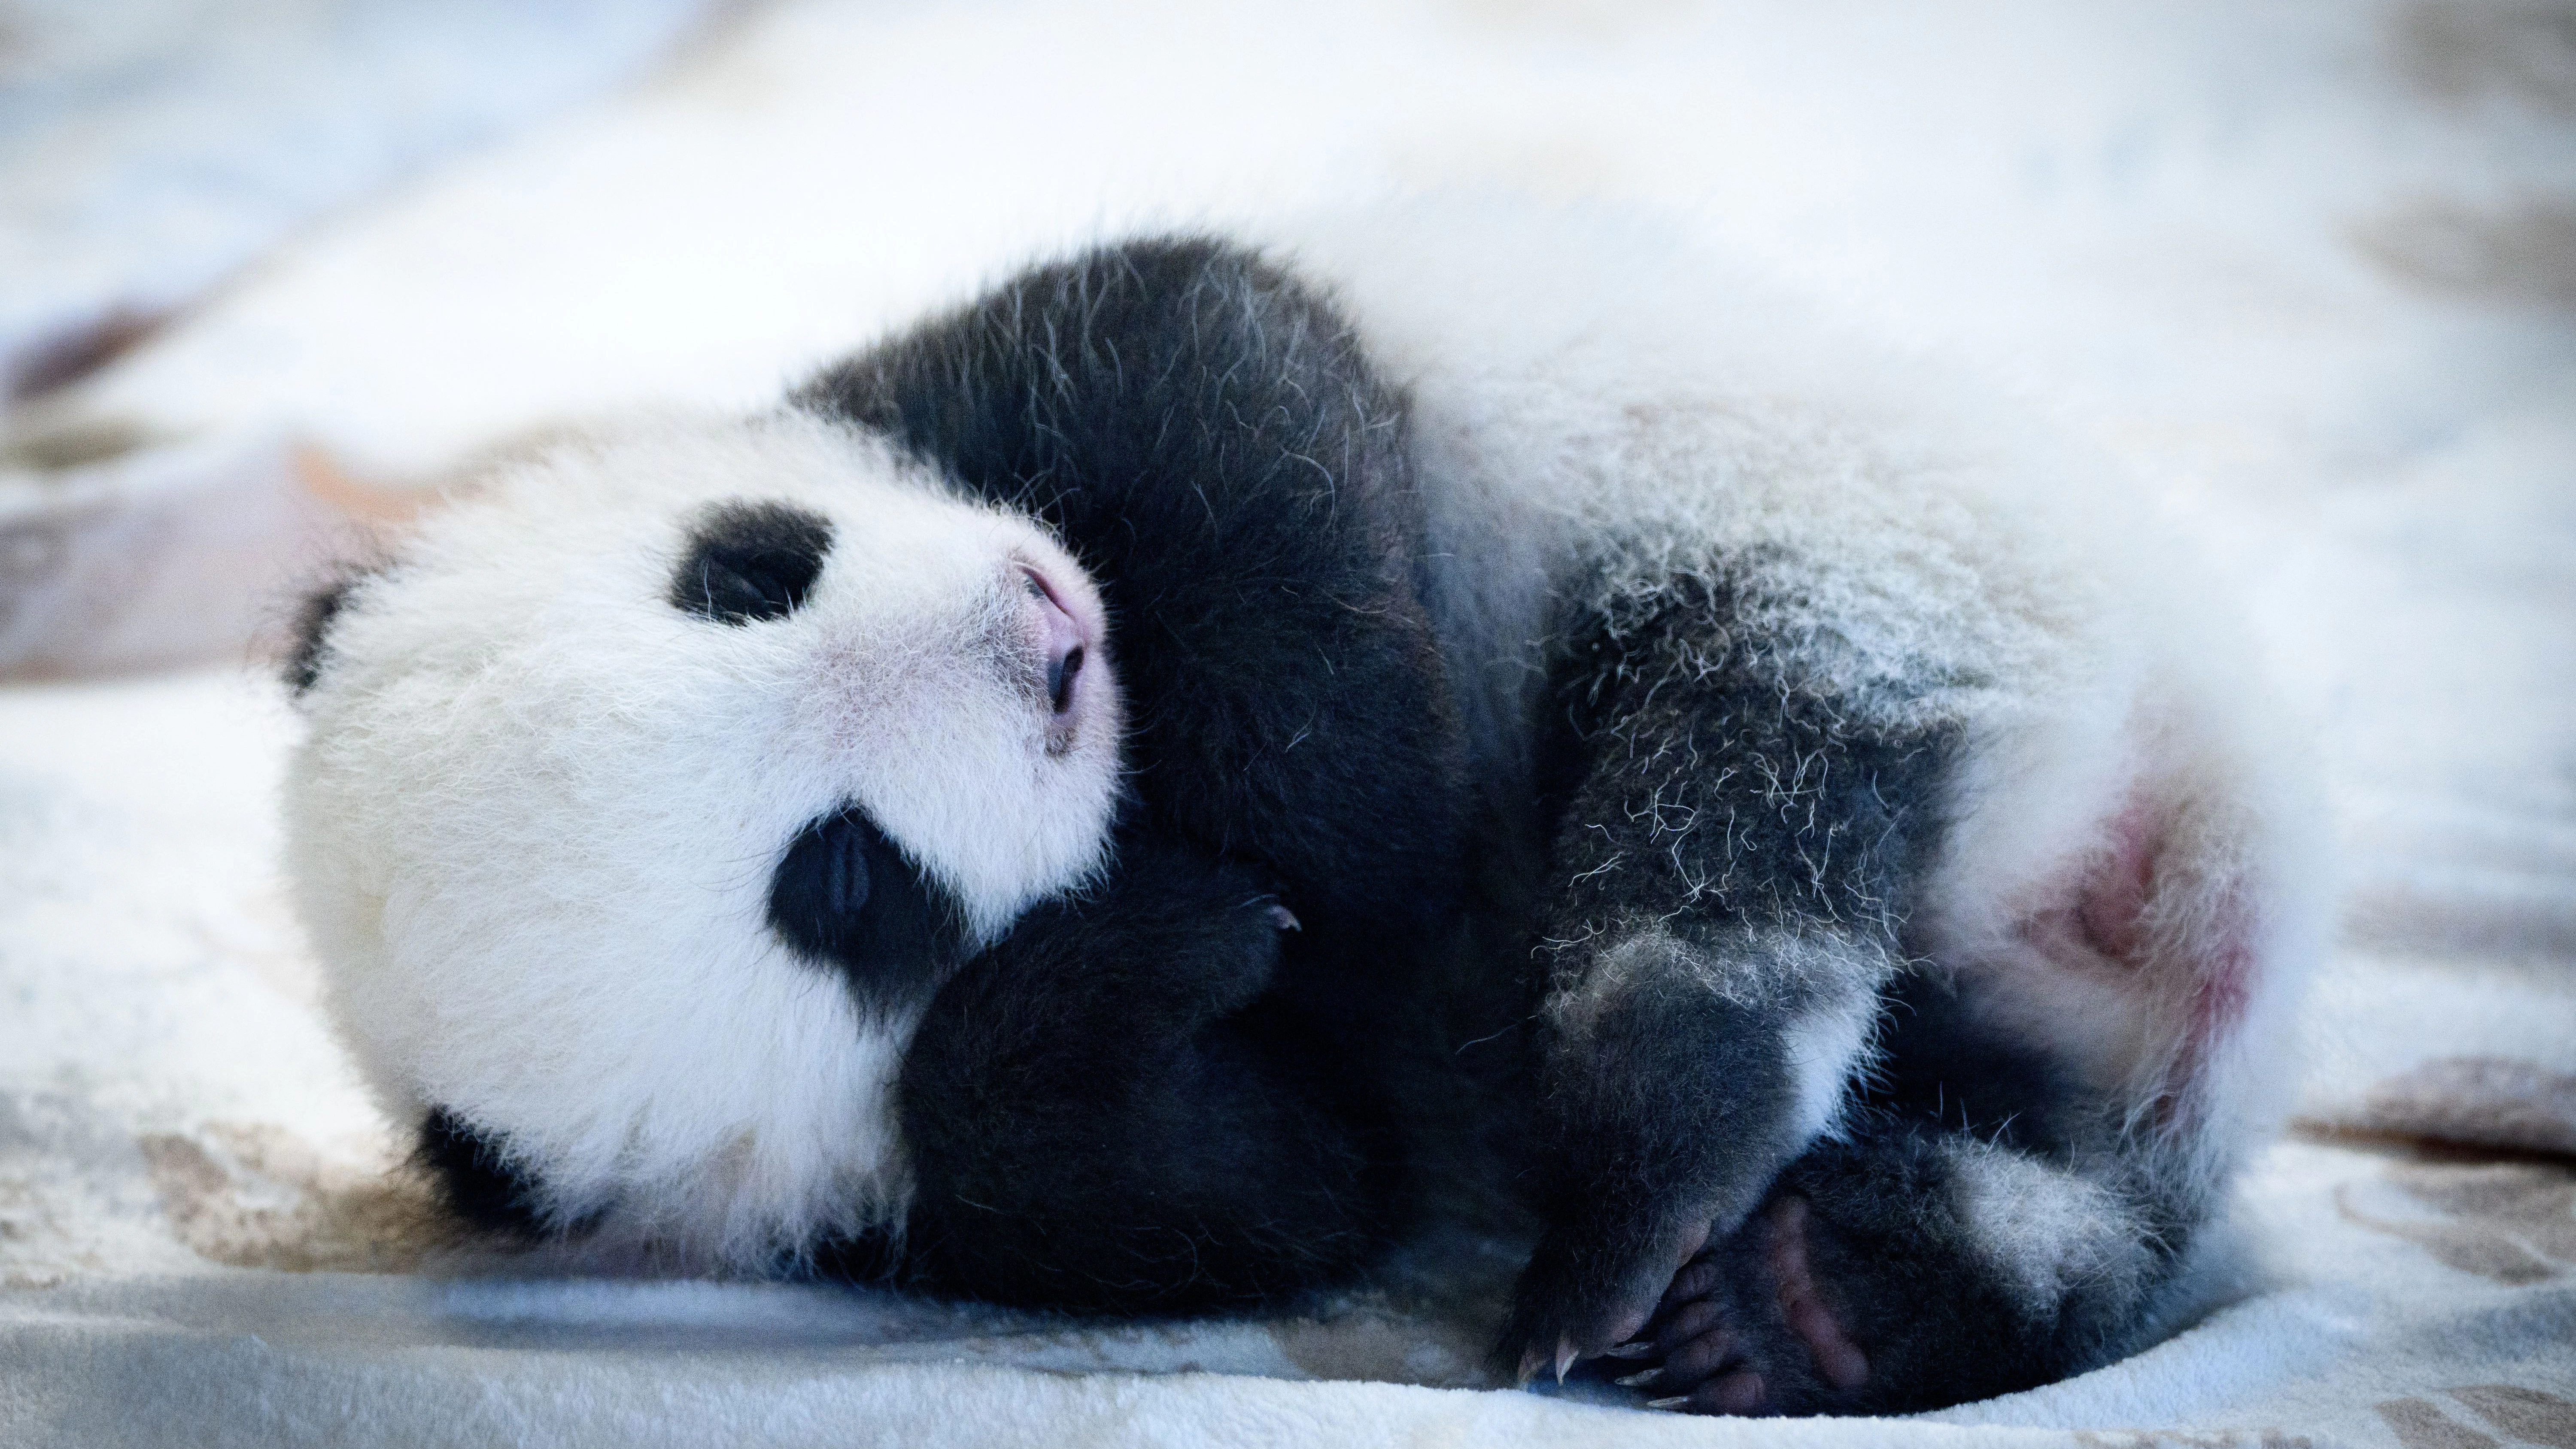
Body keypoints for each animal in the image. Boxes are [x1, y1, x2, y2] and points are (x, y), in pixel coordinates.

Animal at [282, 202, 2318, 1418]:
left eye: (745, 572)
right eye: (843, 883)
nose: (1039, 646)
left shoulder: (1005, 373)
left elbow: (1222, 372)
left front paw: (1326, 813)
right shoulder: (934, 1212)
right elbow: (1274, 1171)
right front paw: (1166, 950)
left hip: (1881, 539)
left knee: (1731, 793)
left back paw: (1687, 1220)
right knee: (1864, 988)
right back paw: (1801, 1281)